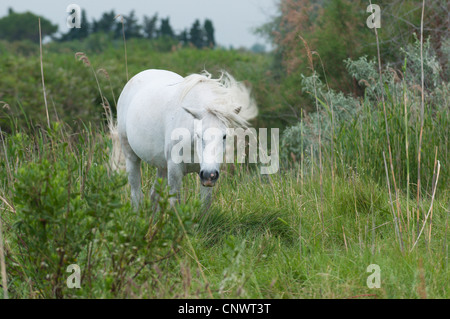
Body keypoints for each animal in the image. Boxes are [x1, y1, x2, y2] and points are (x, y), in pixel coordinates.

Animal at [109, 70, 256, 209]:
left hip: (163, 167)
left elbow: (204, 205)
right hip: (131, 156)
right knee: (136, 194)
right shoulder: (175, 171)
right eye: (198, 134)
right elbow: (175, 203)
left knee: (154, 195)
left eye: (224, 136)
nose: (209, 175)